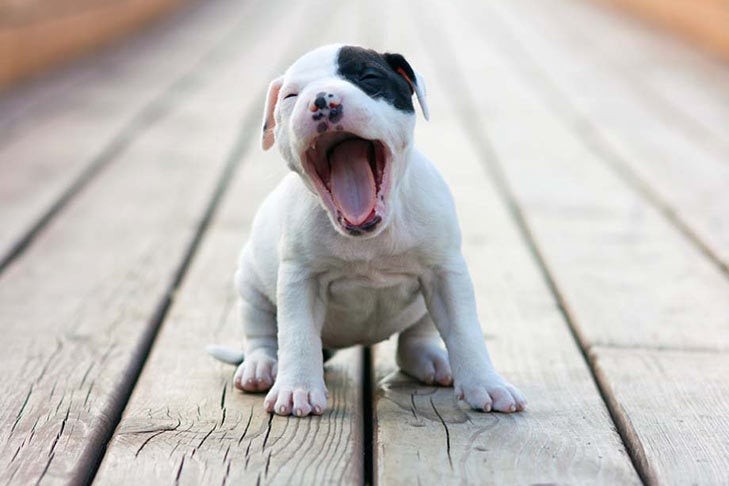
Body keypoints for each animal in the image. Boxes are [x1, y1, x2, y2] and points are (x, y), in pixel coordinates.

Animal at [208, 43, 528, 418]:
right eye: (291, 95)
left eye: (369, 78)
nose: (322, 100)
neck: (370, 236)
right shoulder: (299, 280)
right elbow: (297, 335)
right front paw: (297, 389)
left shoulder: (446, 273)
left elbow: (465, 330)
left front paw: (487, 385)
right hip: (250, 286)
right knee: (261, 334)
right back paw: (261, 367)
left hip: (424, 308)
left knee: (414, 342)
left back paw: (434, 360)